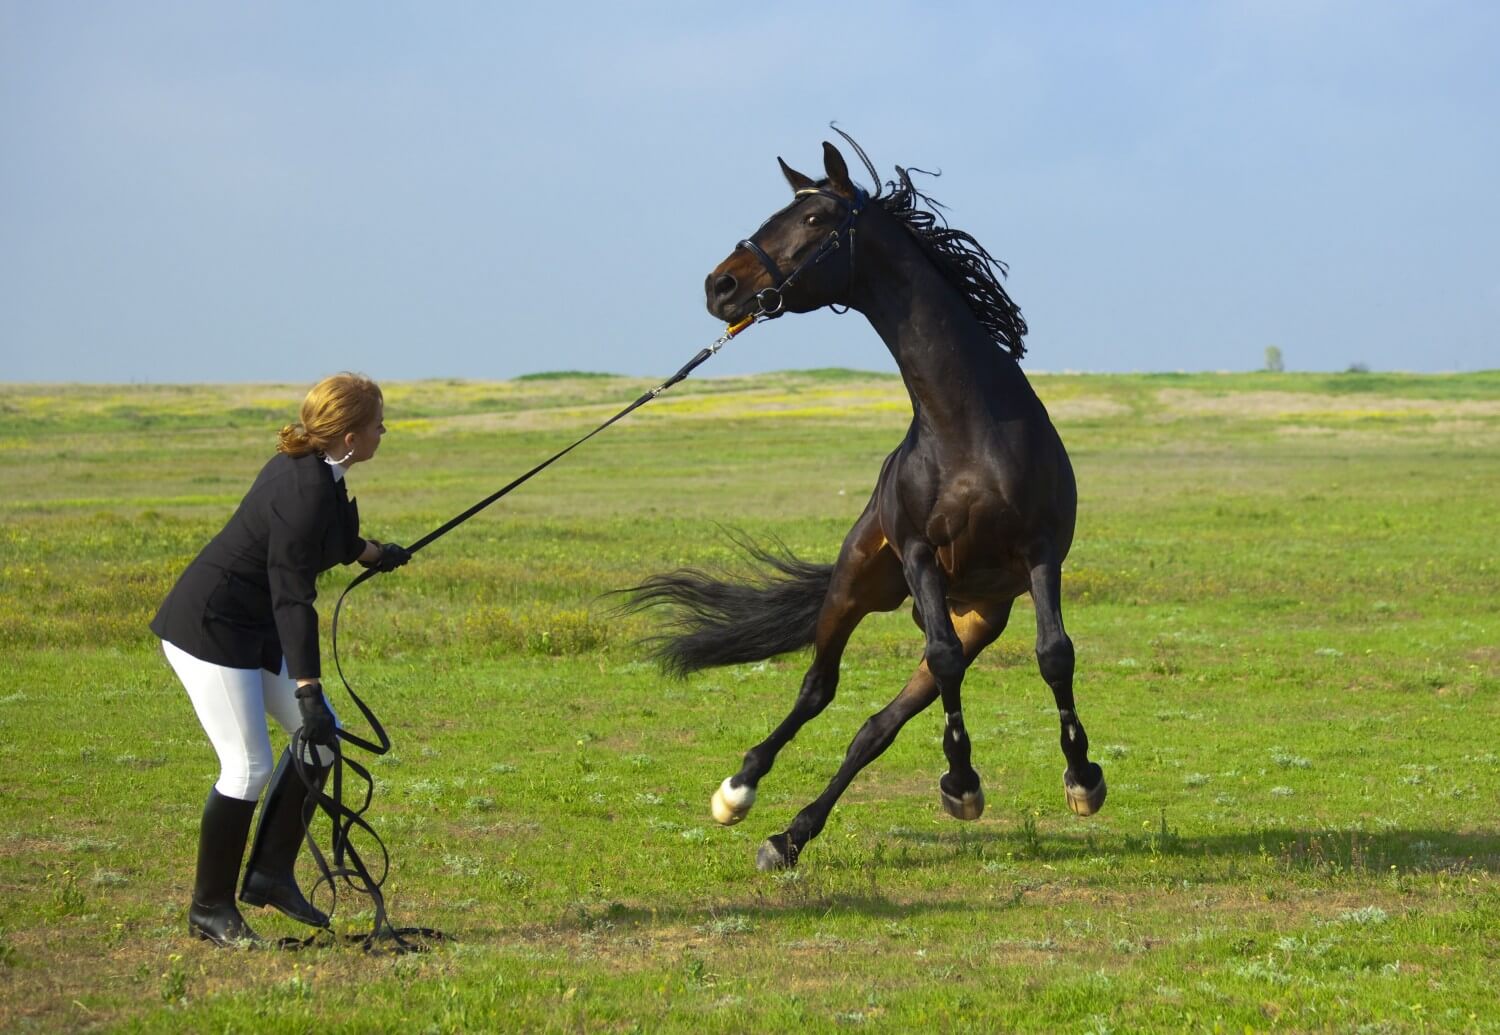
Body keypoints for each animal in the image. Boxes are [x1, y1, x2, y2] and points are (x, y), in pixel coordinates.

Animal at [627, 135, 1110, 864]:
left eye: (814, 218)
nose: (720, 286)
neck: (966, 427)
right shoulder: (918, 553)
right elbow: (941, 662)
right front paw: (962, 782)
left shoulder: (1039, 551)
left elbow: (1054, 654)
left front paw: (1080, 779)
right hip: (857, 583)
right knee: (817, 688)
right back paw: (740, 792)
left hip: (978, 614)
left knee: (875, 726)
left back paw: (791, 834)